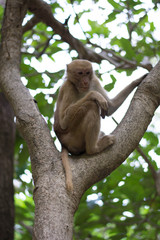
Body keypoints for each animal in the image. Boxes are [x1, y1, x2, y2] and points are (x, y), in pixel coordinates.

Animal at [53, 59, 148, 191]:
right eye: (80, 73)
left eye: (87, 73)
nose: (85, 81)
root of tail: (63, 143)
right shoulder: (68, 87)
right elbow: (63, 122)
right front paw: (94, 95)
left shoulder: (94, 81)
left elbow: (110, 107)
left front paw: (138, 80)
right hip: (73, 139)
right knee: (91, 106)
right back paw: (94, 148)